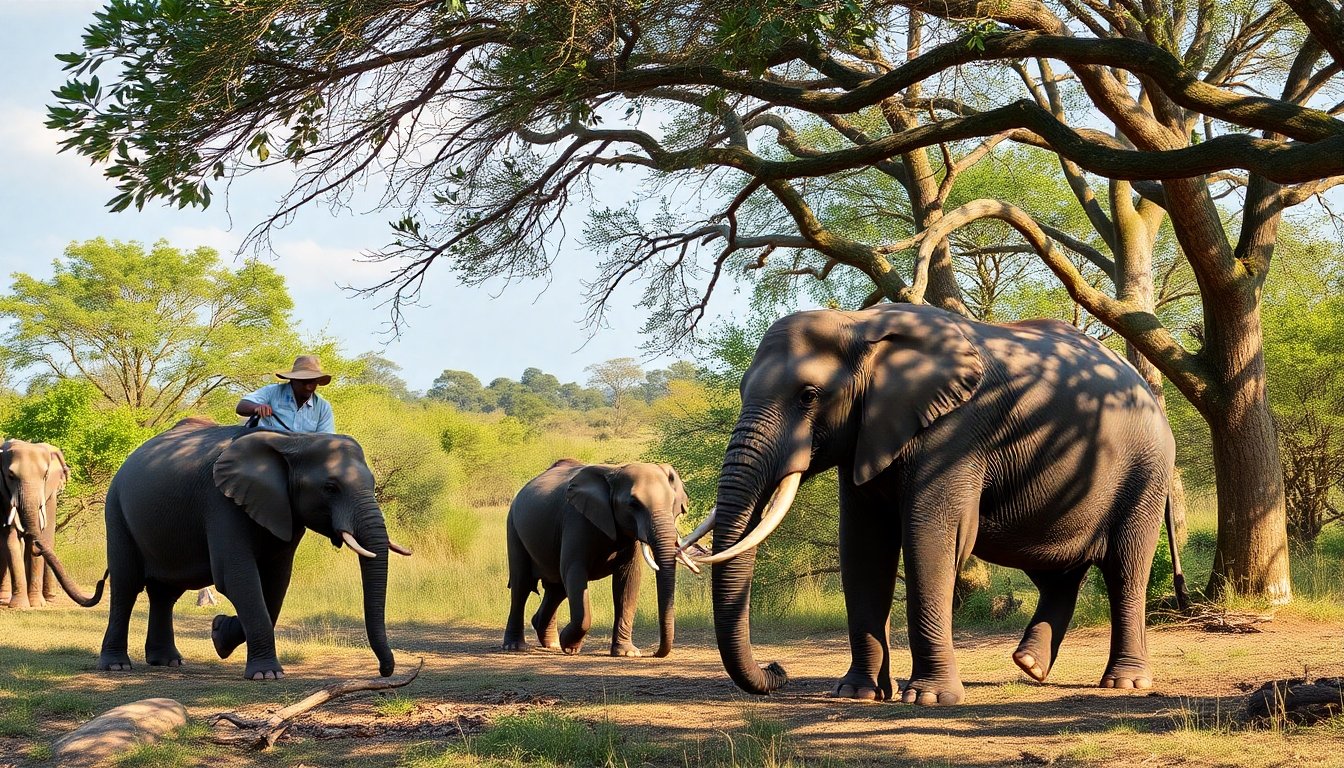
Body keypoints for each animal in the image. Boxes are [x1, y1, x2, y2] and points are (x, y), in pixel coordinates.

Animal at [0, 439, 102, 609]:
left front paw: (36, 604)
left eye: (45, 475)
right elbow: (11, 540)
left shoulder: (49, 494)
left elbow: (44, 535)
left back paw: (49, 599)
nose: (101, 581)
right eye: (10, 476)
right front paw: (20, 606)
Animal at [95, 417, 410, 680]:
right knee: (126, 585)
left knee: (165, 593)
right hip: (116, 510)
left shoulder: (285, 511)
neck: (292, 440)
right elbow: (237, 578)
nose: (384, 671)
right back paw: (117, 665)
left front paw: (220, 634)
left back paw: (168, 661)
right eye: (330, 488)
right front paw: (266, 674)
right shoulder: (221, 502)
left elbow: (276, 582)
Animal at [503, 459, 695, 657]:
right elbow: (574, 571)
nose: (655, 653)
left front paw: (627, 653)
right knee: (522, 585)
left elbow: (628, 581)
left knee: (557, 589)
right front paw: (570, 646)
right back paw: (515, 646)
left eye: (673, 503)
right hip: (513, 527)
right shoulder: (576, 518)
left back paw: (551, 642)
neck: (616, 471)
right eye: (633, 504)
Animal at [687, 303, 1185, 705]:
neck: (861, 325)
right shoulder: (866, 436)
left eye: (809, 396)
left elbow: (930, 536)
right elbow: (863, 548)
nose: (778, 670)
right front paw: (856, 694)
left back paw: (1125, 683)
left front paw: (927, 699)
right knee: (1054, 570)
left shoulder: (956, 431)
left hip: (1146, 472)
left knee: (1126, 569)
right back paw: (1030, 666)